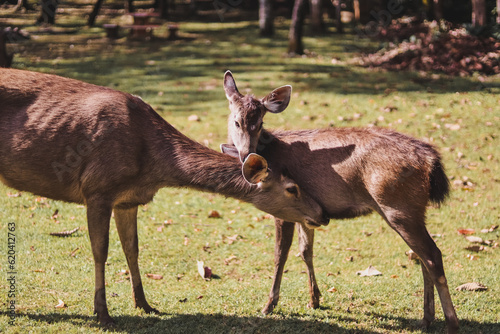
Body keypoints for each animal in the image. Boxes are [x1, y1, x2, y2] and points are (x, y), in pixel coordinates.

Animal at [0, 68, 328, 326]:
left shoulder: (127, 200)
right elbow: (100, 252)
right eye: (292, 188)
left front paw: (145, 304)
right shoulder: (97, 188)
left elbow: (132, 249)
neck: (151, 165)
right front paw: (103, 313)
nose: (322, 214)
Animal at [223, 71, 460, 334]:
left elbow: (280, 254)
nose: (246, 154)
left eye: (260, 123)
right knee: (422, 257)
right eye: (236, 121)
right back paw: (427, 319)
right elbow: (306, 250)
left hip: (397, 206)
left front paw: (269, 305)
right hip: (414, 209)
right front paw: (314, 299)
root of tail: (431, 160)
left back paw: (451, 323)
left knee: (432, 256)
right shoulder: (305, 210)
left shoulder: (282, 206)